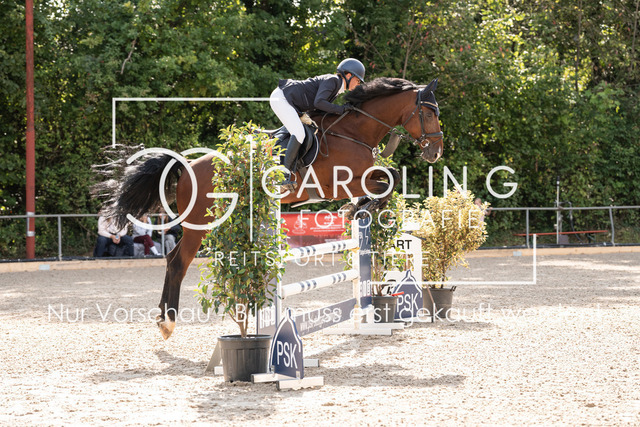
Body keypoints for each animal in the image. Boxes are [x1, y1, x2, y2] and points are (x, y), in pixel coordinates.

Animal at [93, 77, 443, 339]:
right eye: (429, 113)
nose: (436, 152)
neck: (353, 132)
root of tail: (188, 164)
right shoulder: (337, 184)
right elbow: (386, 181)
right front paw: (358, 206)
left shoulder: (360, 176)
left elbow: (390, 176)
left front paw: (359, 208)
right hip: (199, 223)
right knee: (178, 261)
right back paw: (168, 322)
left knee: (172, 258)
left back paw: (166, 319)